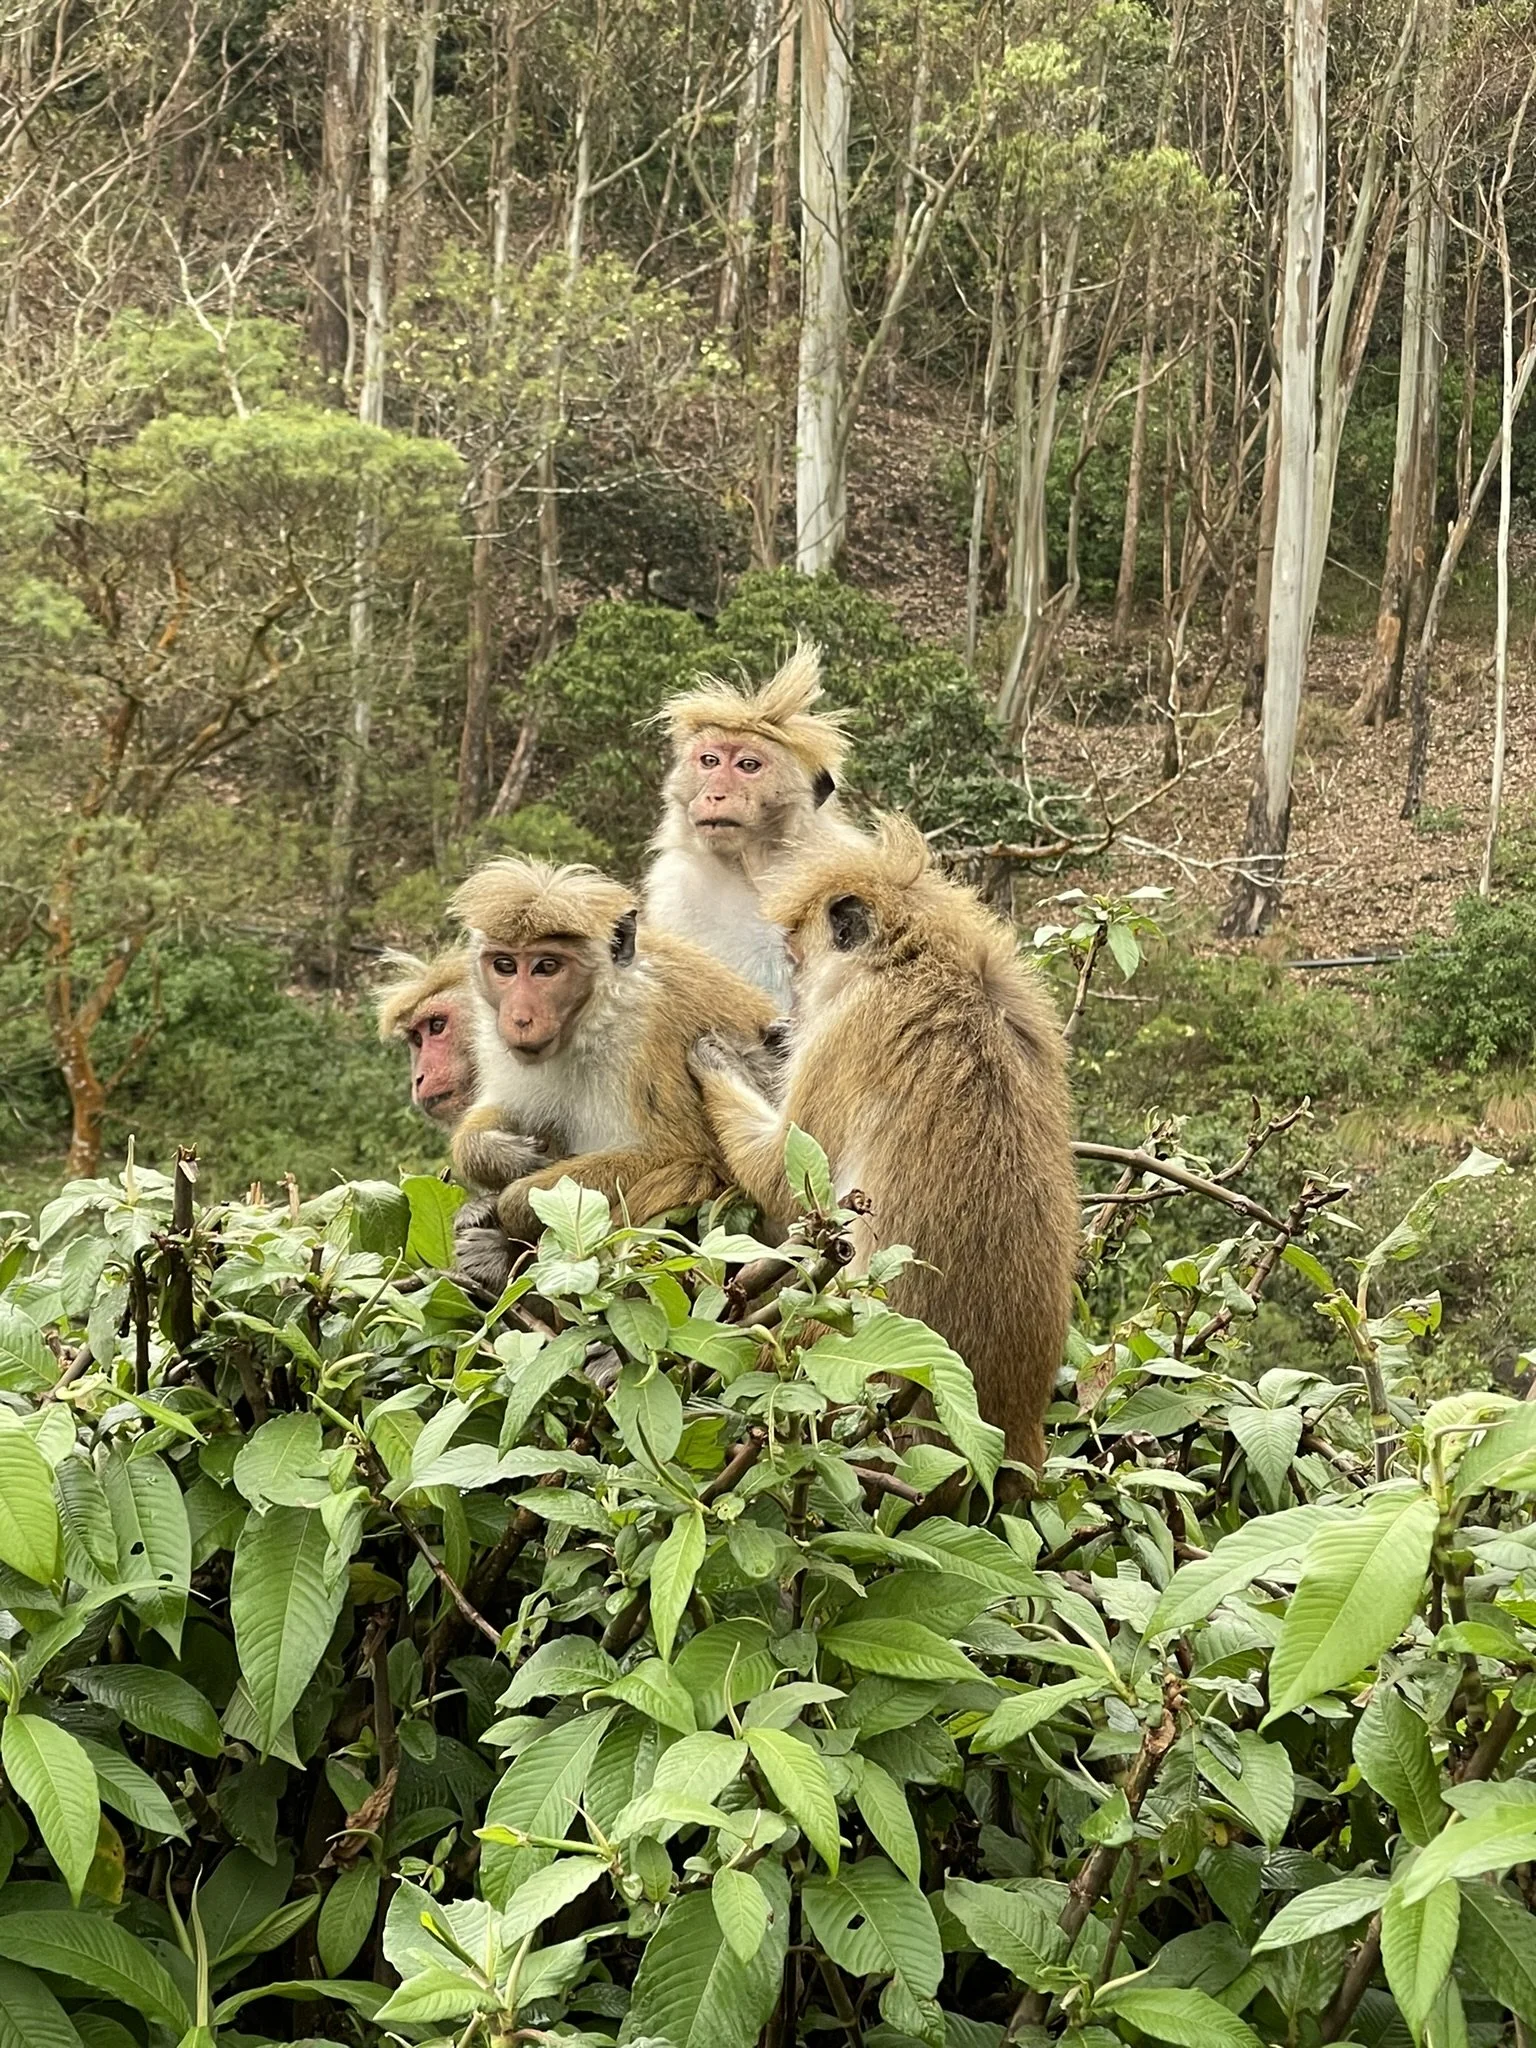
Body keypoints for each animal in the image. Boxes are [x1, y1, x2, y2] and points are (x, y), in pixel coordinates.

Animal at [447, 858, 780, 1290]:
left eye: (547, 967)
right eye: (505, 966)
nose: (519, 1018)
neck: (594, 1017)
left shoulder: (652, 1034)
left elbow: (689, 1154)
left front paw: (513, 1202)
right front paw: (490, 1154)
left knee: (692, 1175)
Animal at [688, 816, 1078, 1471]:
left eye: (795, 961)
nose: (792, 1009)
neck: (917, 959)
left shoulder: (846, 1028)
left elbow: (782, 1182)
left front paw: (719, 1059)